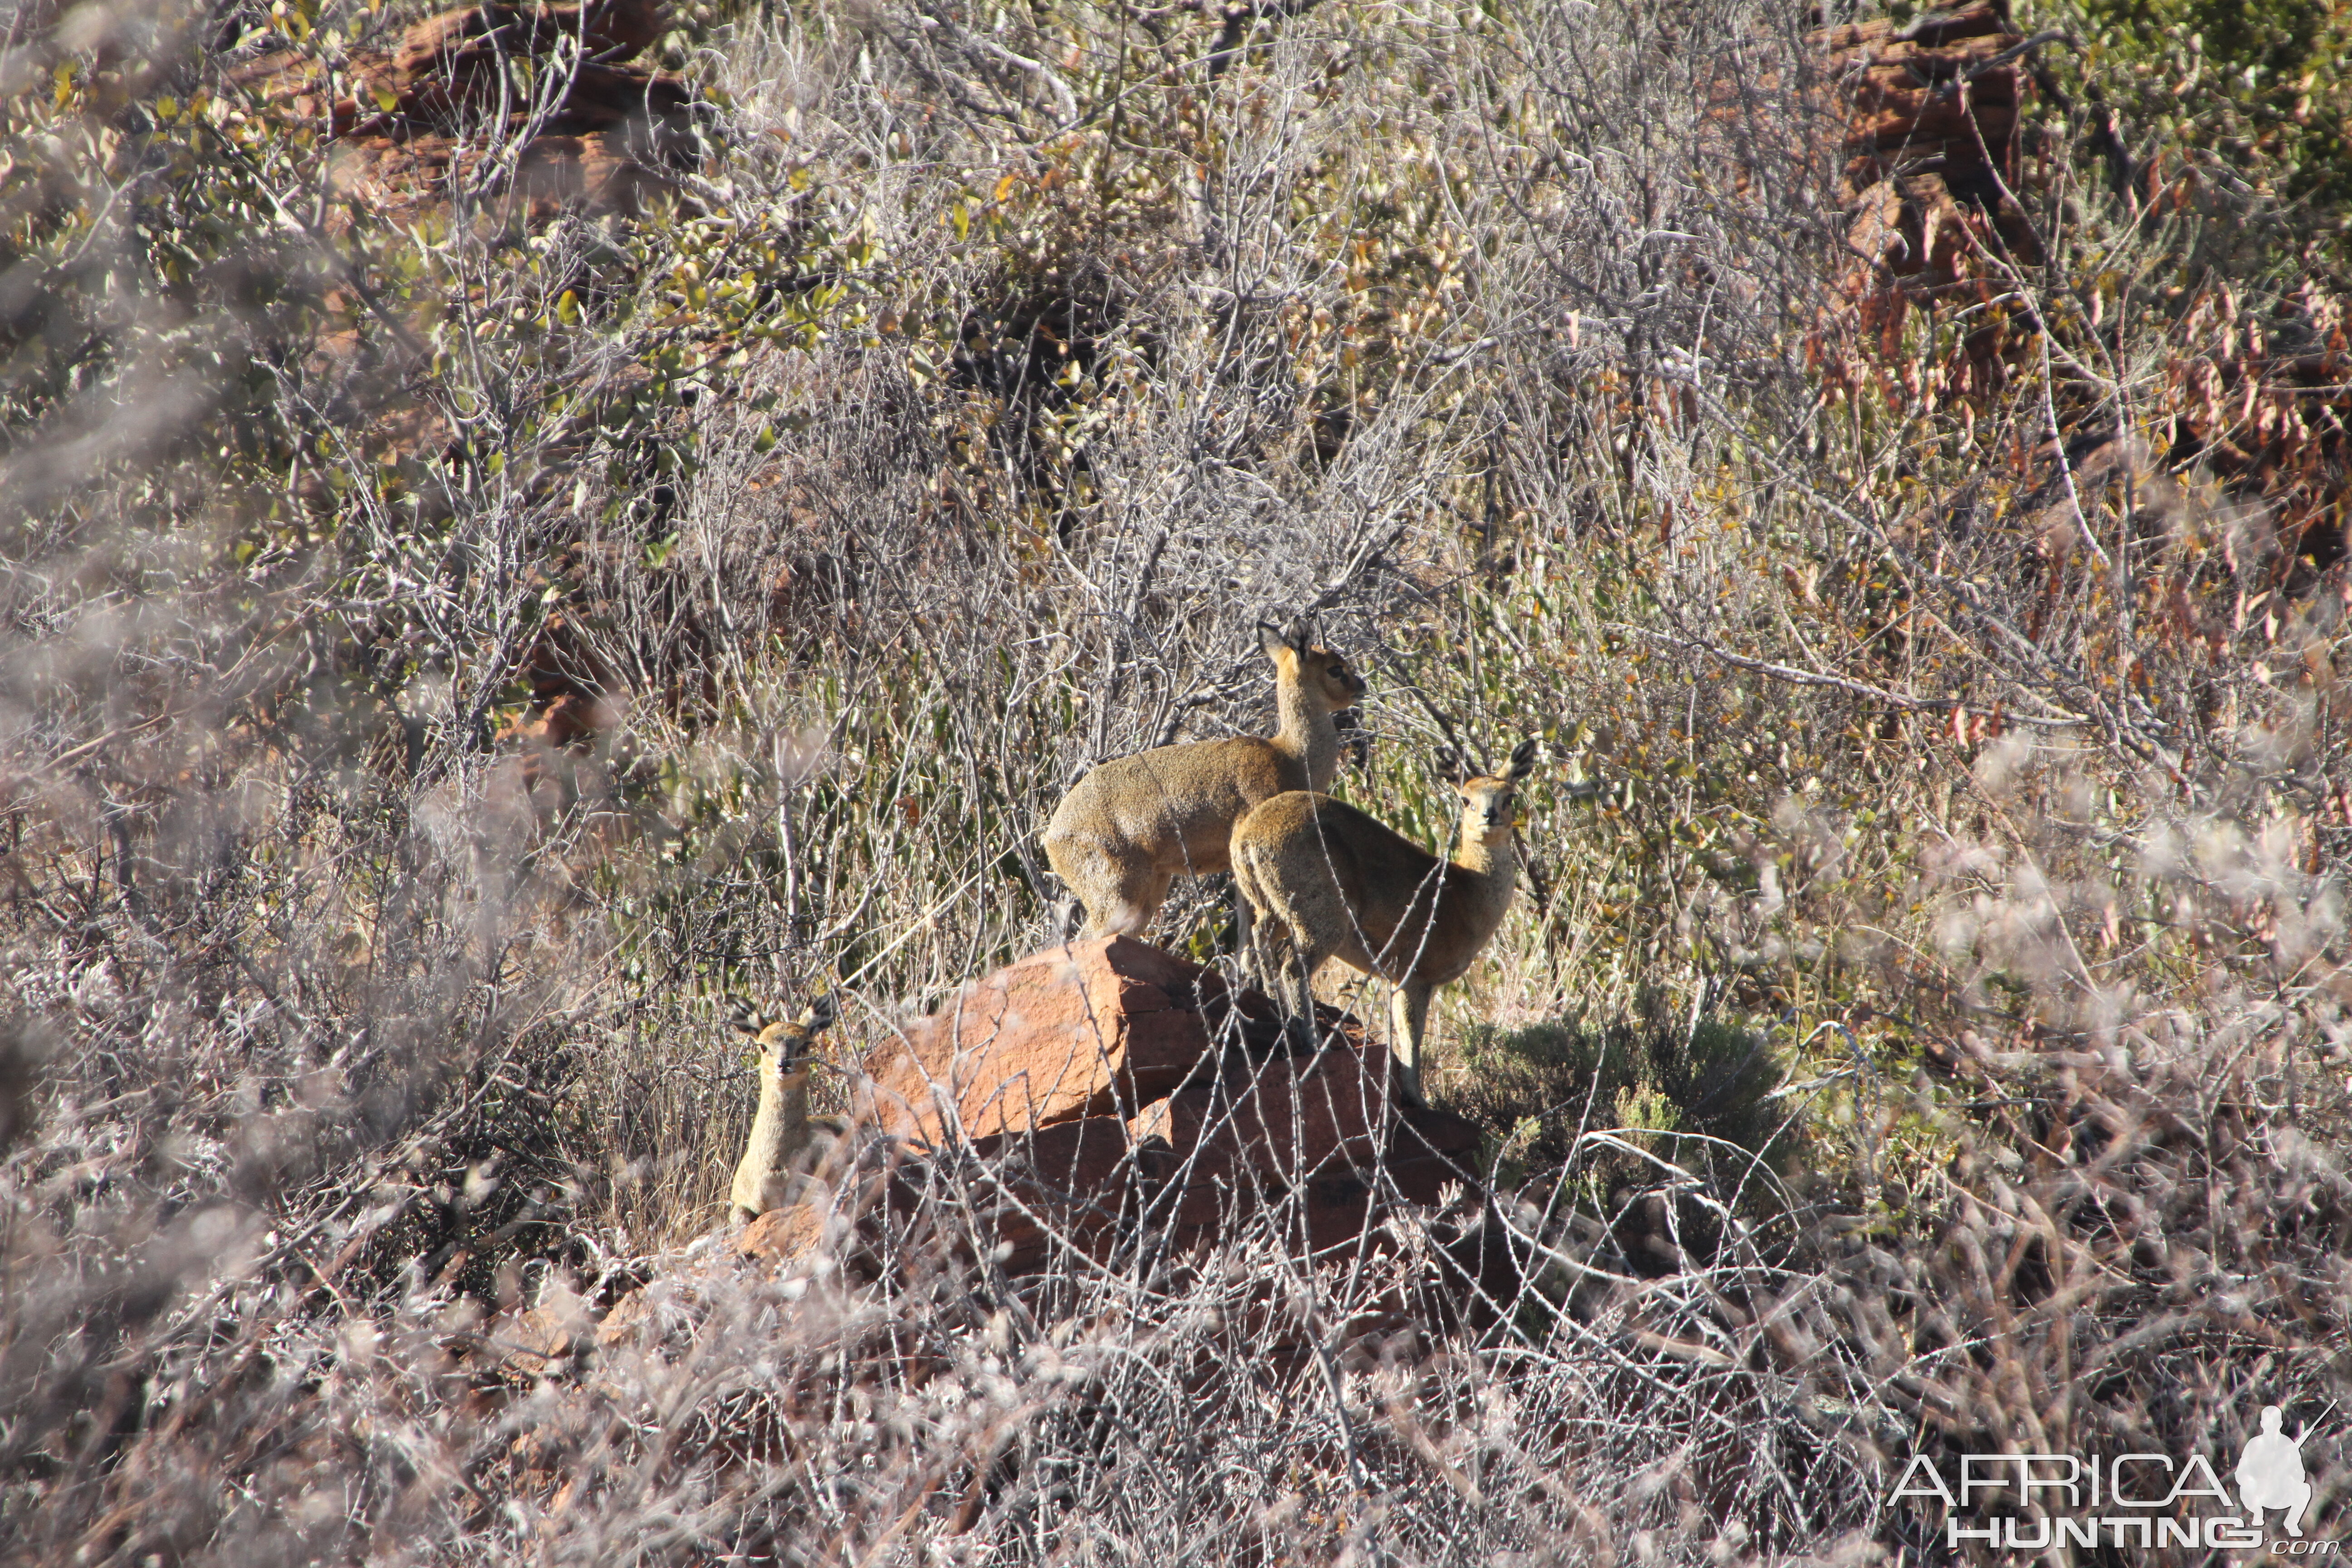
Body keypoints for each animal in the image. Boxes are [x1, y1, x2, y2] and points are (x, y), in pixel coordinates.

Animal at [1044, 616, 1373, 940]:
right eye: (1335, 668)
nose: (1362, 686)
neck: (1291, 757)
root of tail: (1051, 837)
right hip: (1117, 890)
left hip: (1151, 890)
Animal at [1232, 743, 1543, 1109]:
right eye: (1466, 799)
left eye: (1509, 797)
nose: (1489, 817)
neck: (1465, 893)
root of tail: (1247, 838)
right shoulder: (1413, 974)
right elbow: (1411, 1036)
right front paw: (1417, 1097)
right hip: (1321, 918)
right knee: (1293, 969)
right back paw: (1312, 1042)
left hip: (1271, 908)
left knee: (1257, 943)